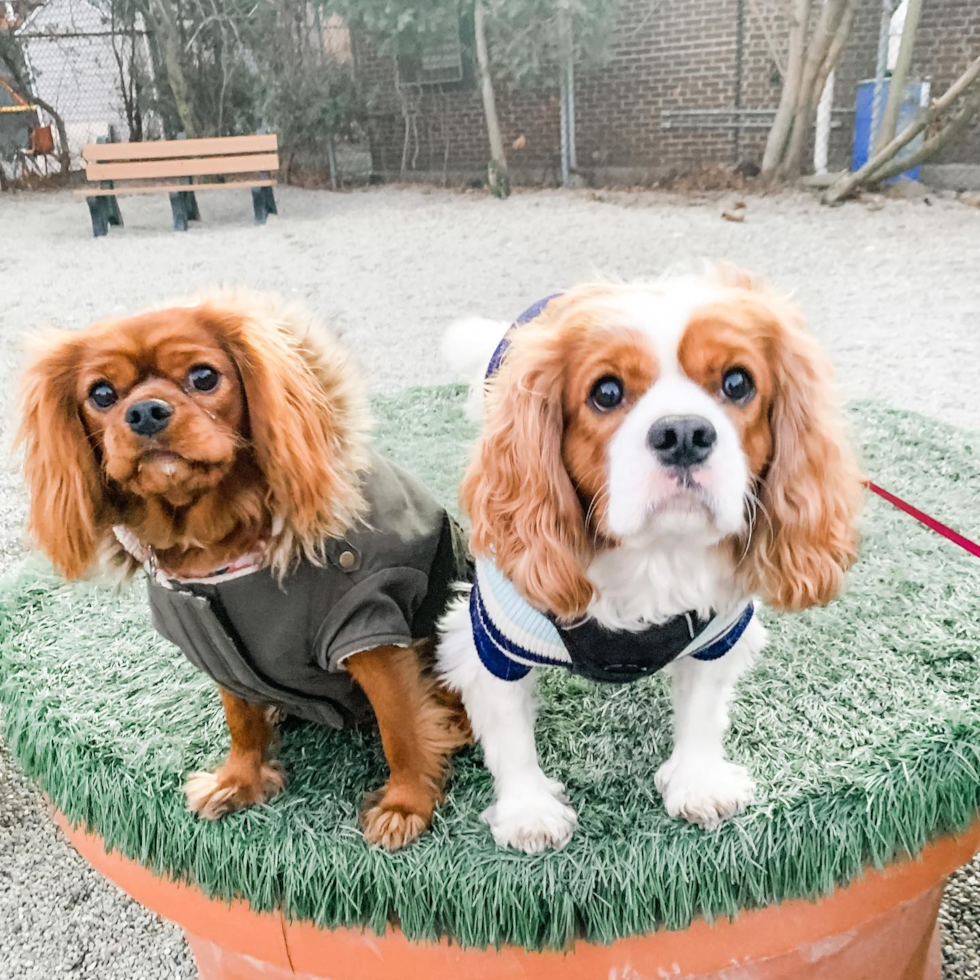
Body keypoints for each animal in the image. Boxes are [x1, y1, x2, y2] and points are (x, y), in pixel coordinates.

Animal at [18, 290, 470, 848]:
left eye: (204, 377)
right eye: (101, 394)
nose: (144, 411)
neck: (218, 550)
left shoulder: (368, 626)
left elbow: (400, 728)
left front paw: (406, 804)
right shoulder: (215, 642)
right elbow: (241, 721)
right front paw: (240, 781)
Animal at [440, 266, 860, 848]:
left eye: (737, 383)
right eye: (606, 392)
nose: (683, 432)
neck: (655, 553)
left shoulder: (719, 631)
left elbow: (703, 709)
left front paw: (698, 781)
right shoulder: (493, 638)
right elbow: (509, 732)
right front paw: (528, 811)